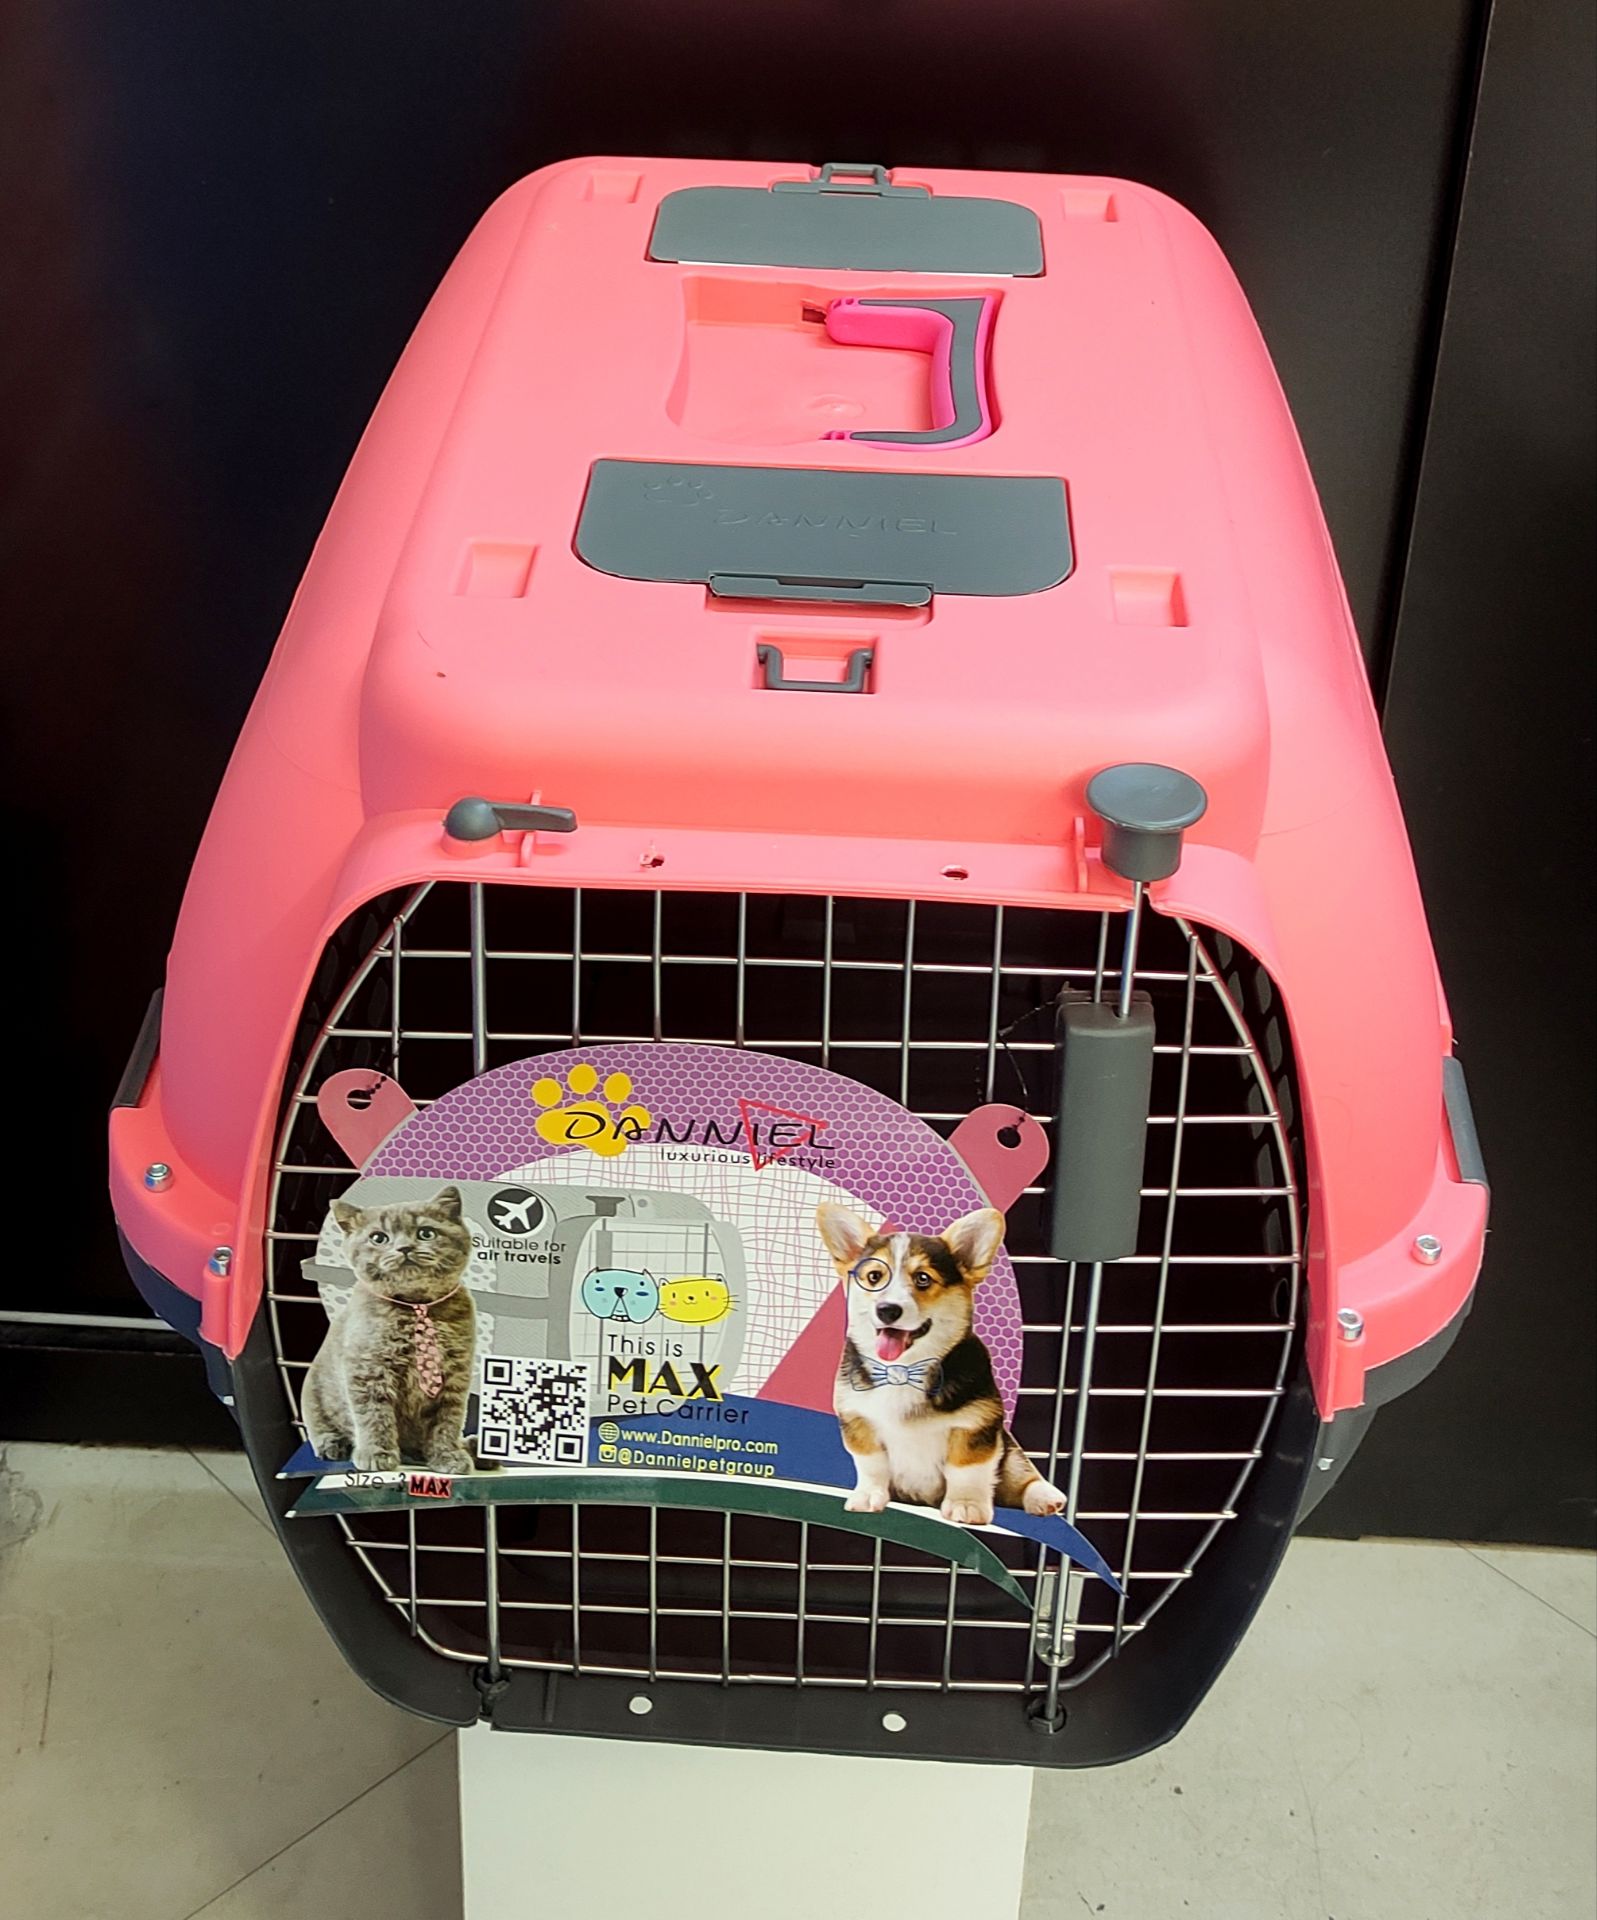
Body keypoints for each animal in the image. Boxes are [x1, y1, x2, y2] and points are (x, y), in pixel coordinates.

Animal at [302, 1185, 478, 1474]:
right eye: (378, 1238)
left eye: (426, 1233)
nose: (404, 1248)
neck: (416, 1306)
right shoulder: (369, 1370)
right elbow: (374, 1416)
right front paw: (377, 1454)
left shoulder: (454, 1376)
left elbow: (447, 1422)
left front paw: (448, 1455)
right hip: (313, 1394)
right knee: (320, 1425)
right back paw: (332, 1444)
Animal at [816, 1203, 1066, 1527]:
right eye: (874, 1277)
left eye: (923, 1278)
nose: (887, 1310)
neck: (903, 1370)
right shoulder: (858, 1421)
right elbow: (872, 1465)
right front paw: (868, 1497)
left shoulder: (976, 1424)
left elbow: (966, 1470)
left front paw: (966, 1506)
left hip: (1008, 1446)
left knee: (1021, 1473)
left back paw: (1046, 1497)